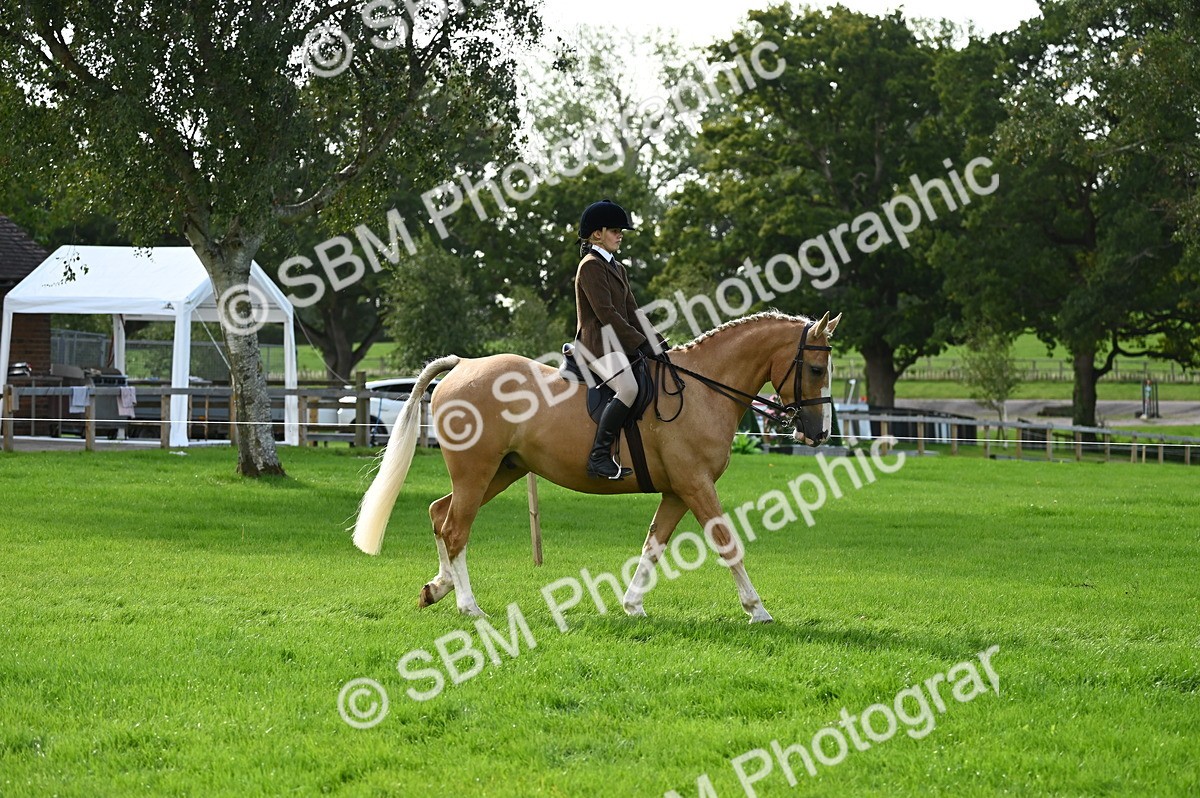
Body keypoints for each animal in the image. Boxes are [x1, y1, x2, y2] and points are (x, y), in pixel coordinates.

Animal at [352, 310, 842, 623]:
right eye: (817, 369)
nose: (818, 433)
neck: (703, 389)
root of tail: (462, 365)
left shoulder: (677, 490)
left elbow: (654, 544)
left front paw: (633, 606)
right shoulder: (696, 484)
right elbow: (727, 544)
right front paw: (757, 610)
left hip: (501, 471)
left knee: (440, 514)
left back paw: (438, 588)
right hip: (477, 472)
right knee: (455, 529)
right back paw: (469, 607)